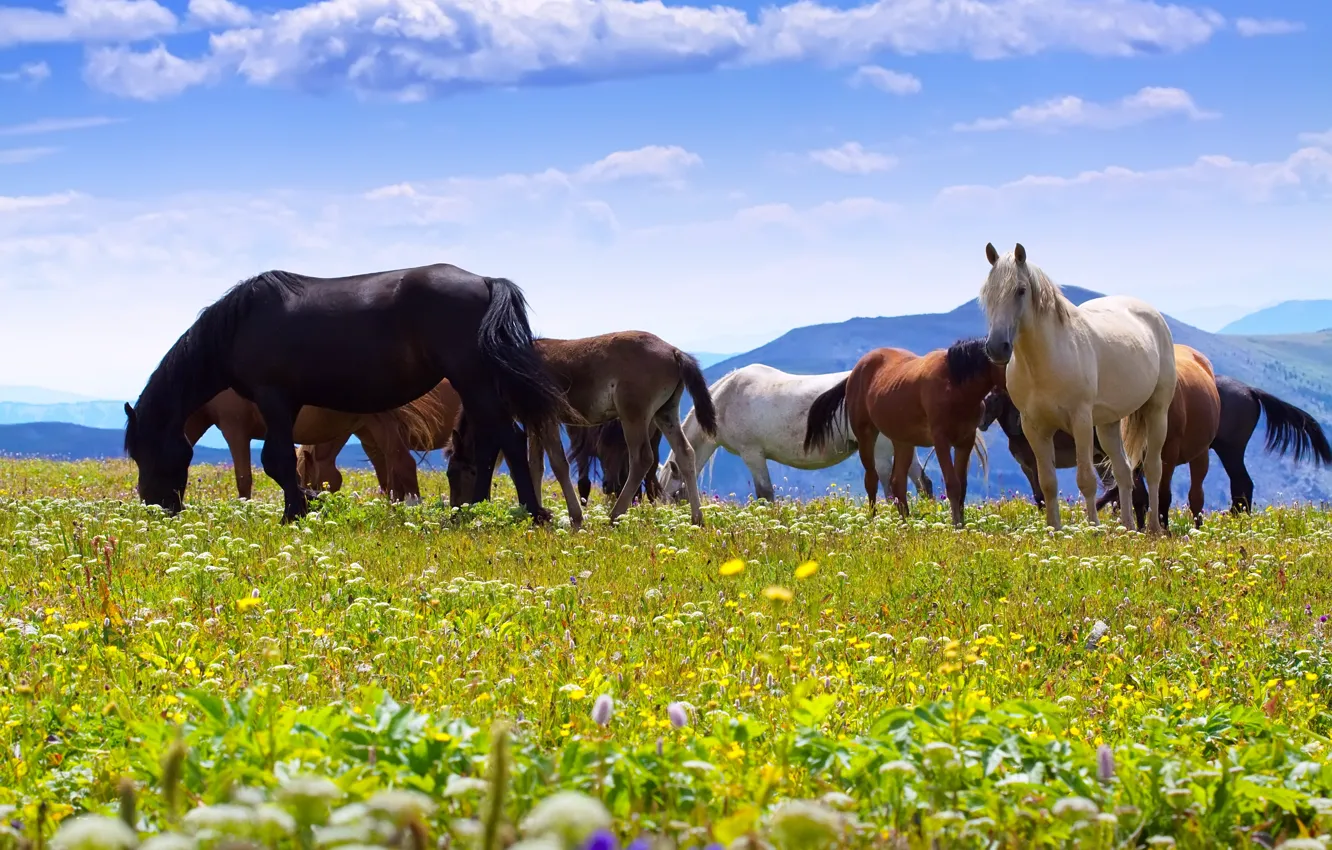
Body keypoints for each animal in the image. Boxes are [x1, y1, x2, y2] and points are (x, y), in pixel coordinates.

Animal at [656, 363, 936, 505]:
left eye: (673, 497)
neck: (725, 399)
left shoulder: (752, 454)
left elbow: (765, 495)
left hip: (881, 451)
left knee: (891, 489)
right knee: (923, 483)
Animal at [804, 339, 1001, 527]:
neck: (955, 385)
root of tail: (854, 372)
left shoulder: (965, 441)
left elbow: (963, 485)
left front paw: (962, 524)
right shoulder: (941, 441)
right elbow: (952, 484)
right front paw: (957, 526)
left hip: (902, 440)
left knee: (897, 482)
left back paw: (904, 523)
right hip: (866, 435)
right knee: (872, 480)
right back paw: (874, 521)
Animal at [978, 242, 1176, 534]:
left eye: (1020, 290)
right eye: (987, 292)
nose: (996, 348)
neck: (1044, 361)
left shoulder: (1080, 421)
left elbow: (1085, 480)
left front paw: (1093, 530)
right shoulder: (1034, 427)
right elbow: (1047, 483)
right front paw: (1054, 531)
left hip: (1156, 411)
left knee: (1152, 469)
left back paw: (1152, 529)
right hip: (1107, 424)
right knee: (1124, 472)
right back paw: (1128, 528)